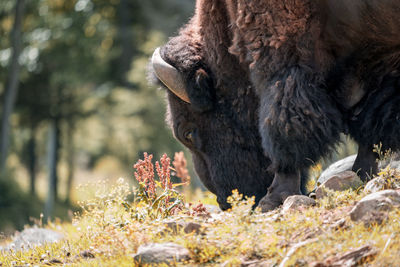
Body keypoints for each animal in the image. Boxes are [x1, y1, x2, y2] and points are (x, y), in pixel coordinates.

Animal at [148, 1, 400, 213]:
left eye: (188, 133)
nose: (226, 202)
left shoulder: (280, 45)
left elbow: (283, 120)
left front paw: (274, 198)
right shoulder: (377, 54)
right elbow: (370, 120)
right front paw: (361, 174)